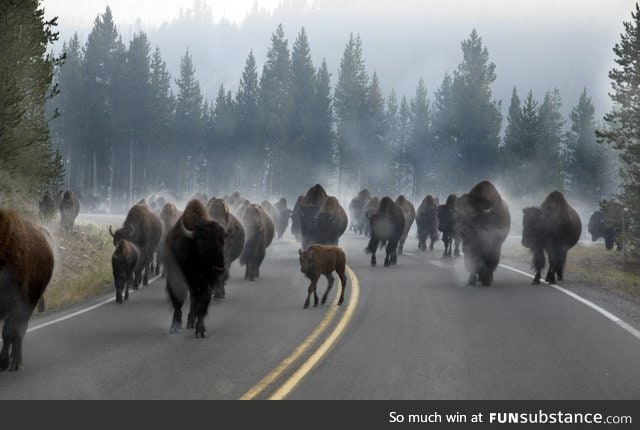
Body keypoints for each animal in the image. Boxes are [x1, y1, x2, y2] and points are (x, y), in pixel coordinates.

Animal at [0, 208, 54, 370]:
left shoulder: (17, 306)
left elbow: (9, 333)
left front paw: (4, 362)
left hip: (30, 304)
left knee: (18, 333)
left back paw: (16, 362)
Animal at [164, 198, 226, 336]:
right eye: (202, 245)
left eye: (222, 243)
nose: (219, 268)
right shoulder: (175, 276)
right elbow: (178, 300)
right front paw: (174, 326)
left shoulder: (206, 282)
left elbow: (202, 301)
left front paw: (201, 330)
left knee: (195, 299)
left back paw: (192, 322)